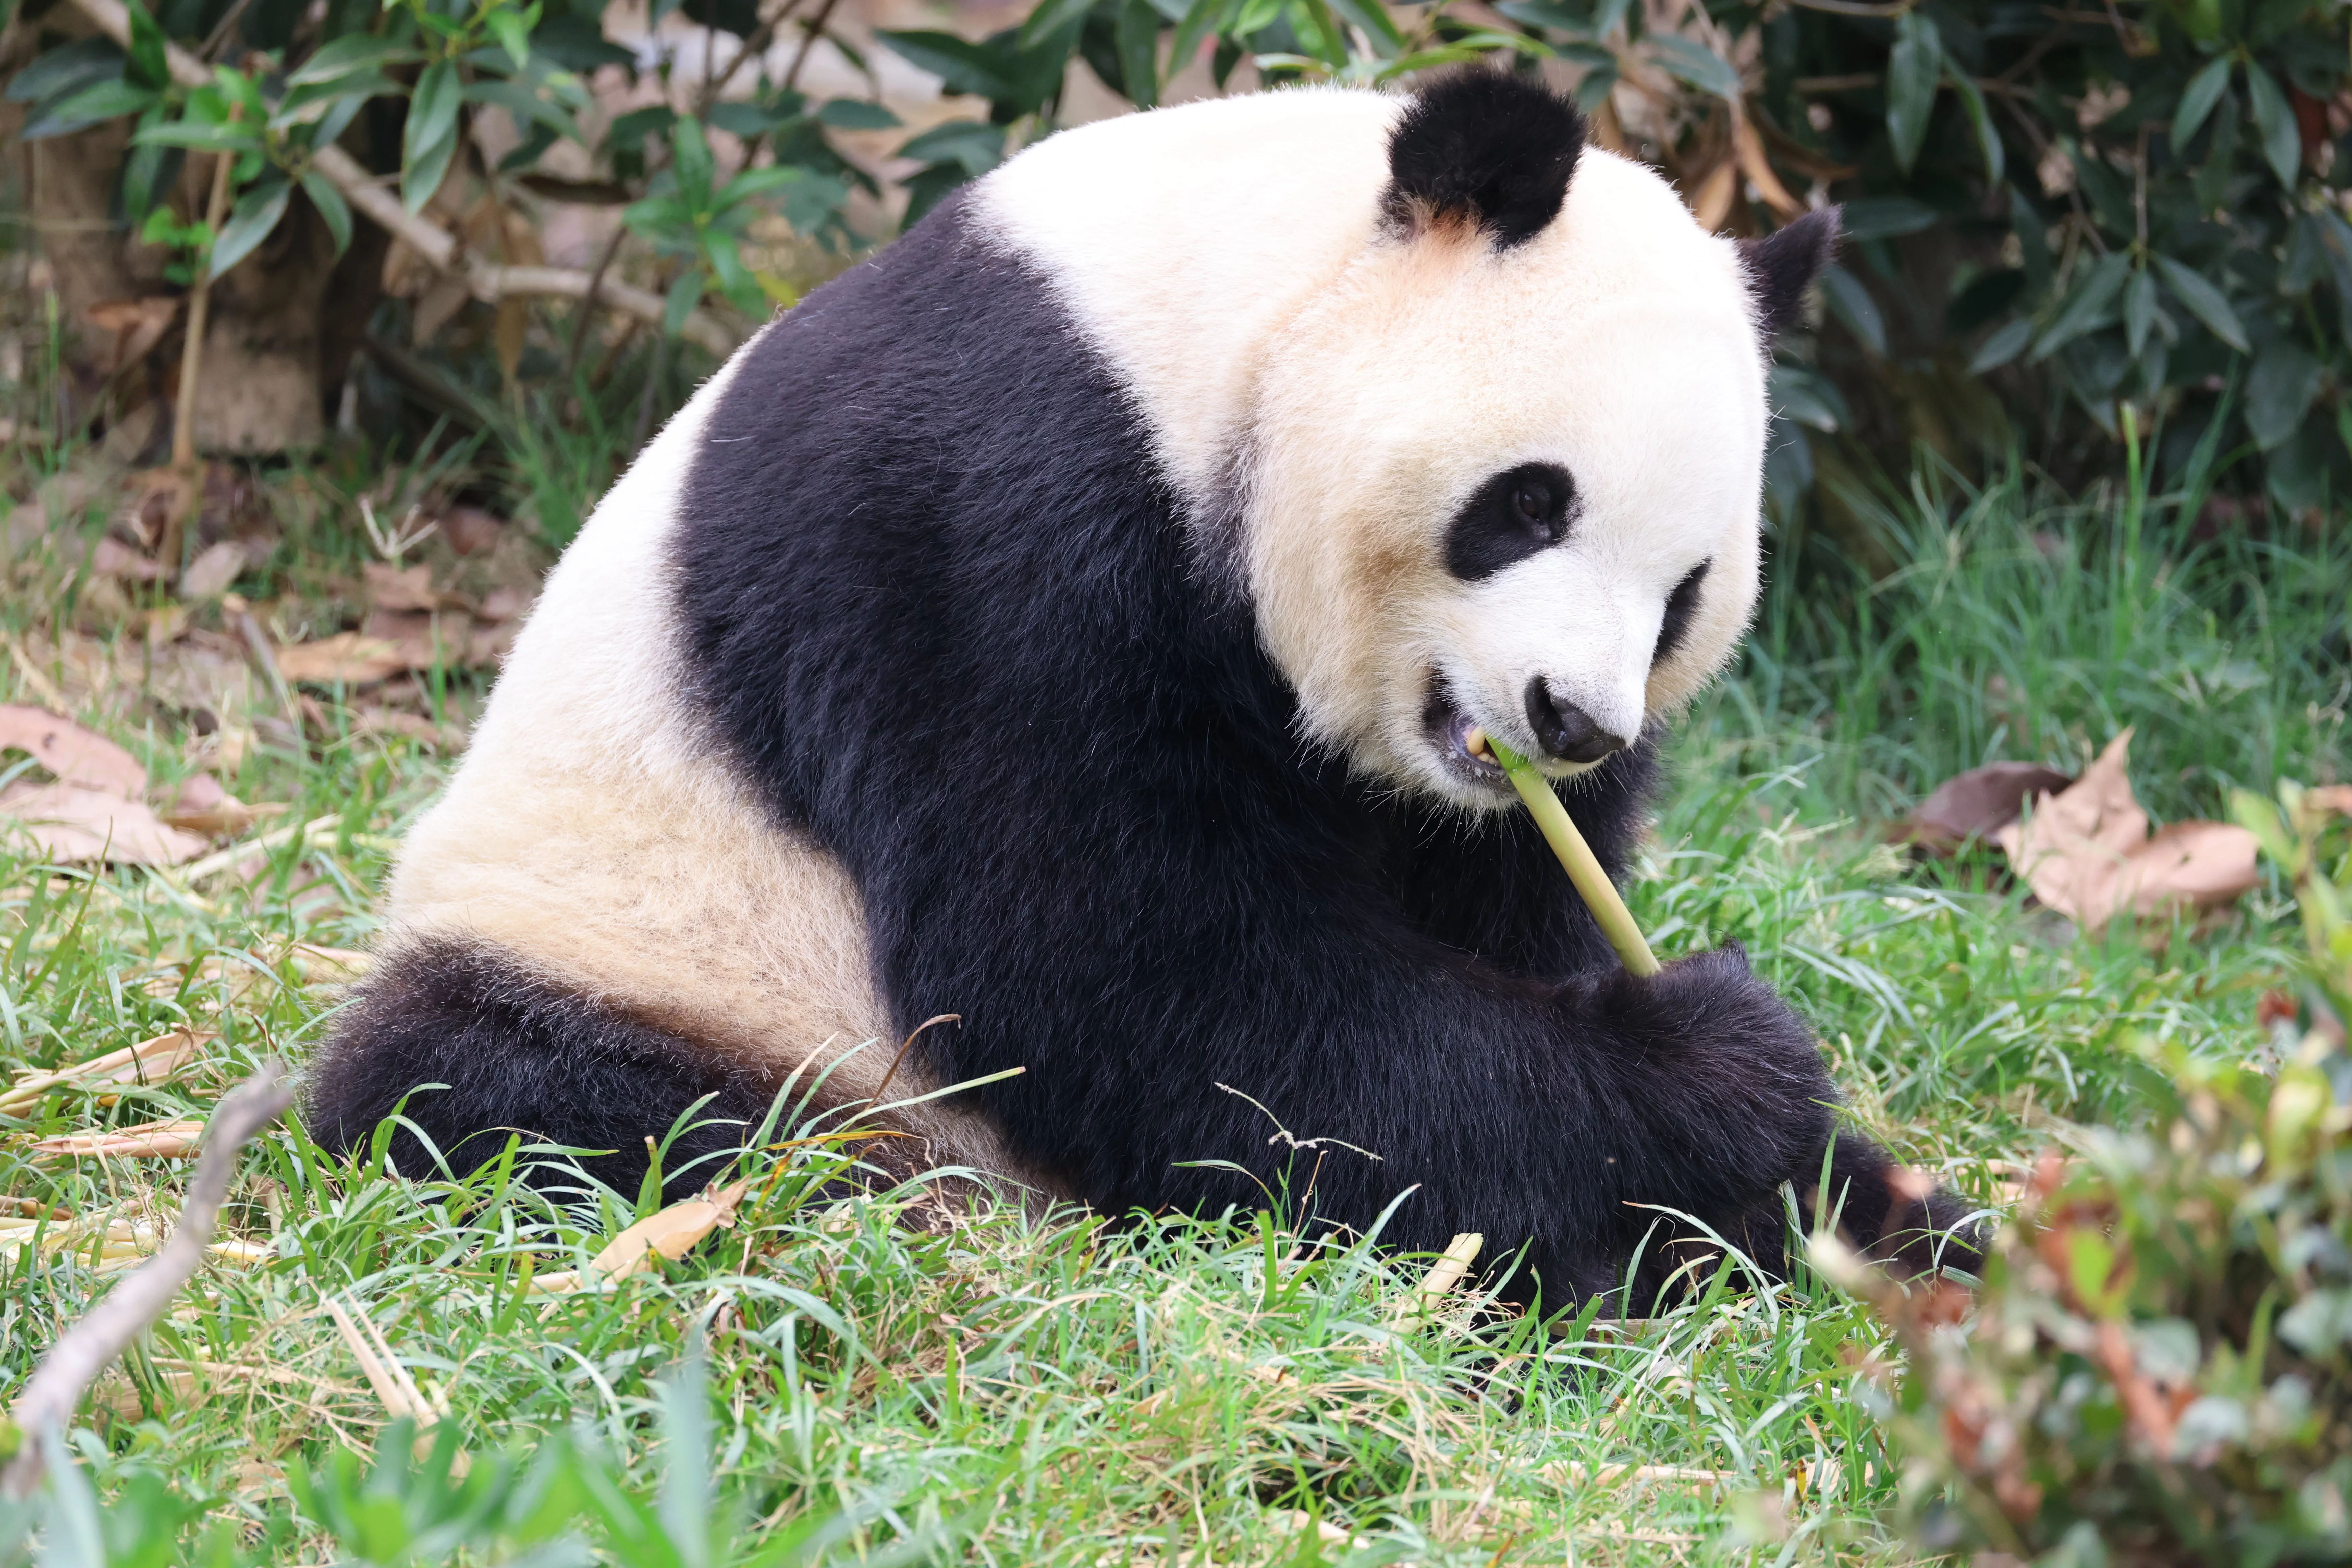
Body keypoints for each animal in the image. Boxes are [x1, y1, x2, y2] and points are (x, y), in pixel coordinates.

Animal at [306, 70, 1975, 1305]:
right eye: (1526, 503)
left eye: (1684, 590)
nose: (1570, 721)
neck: (1222, 308)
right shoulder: (998, 509)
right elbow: (1113, 971)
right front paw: (1711, 1079)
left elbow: (1496, 910)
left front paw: (1784, 1175)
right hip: (656, 947)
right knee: (538, 1100)